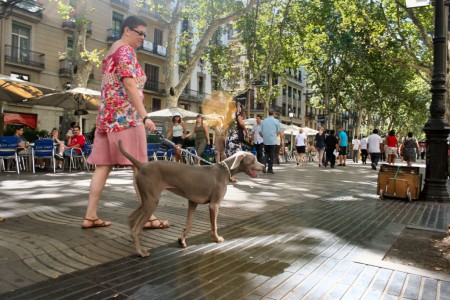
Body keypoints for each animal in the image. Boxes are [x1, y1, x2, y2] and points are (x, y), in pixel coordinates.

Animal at [118, 141, 264, 258]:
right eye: (254, 159)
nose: (263, 166)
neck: (224, 170)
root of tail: (142, 165)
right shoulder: (214, 205)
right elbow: (214, 225)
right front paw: (216, 238)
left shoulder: (193, 202)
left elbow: (188, 224)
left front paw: (181, 240)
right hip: (151, 201)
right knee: (136, 229)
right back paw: (140, 252)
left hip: (147, 200)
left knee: (131, 218)